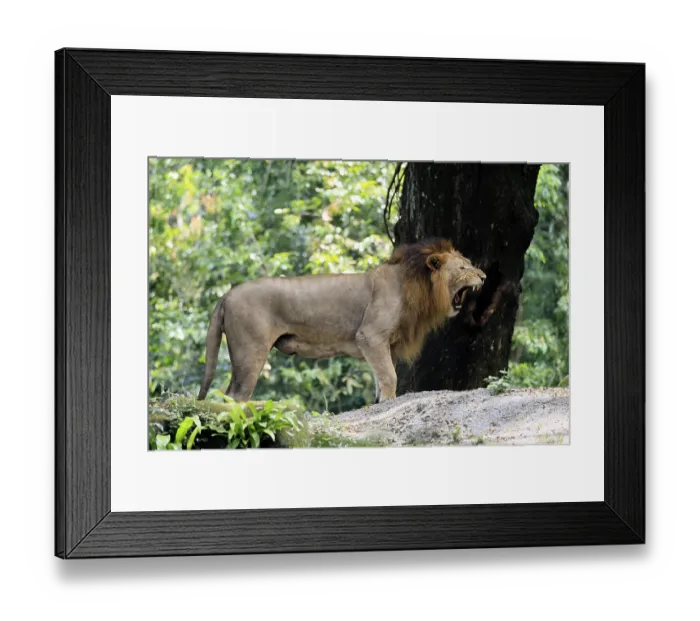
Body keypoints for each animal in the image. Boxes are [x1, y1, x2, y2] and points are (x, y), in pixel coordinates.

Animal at [197, 238, 486, 404]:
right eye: (463, 268)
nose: (483, 277)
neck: (414, 283)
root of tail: (226, 295)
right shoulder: (370, 335)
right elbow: (389, 376)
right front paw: (388, 403)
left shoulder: (386, 344)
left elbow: (381, 375)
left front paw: (379, 401)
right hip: (251, 352)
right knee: (235, 397)